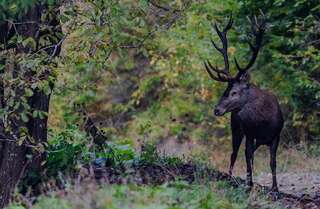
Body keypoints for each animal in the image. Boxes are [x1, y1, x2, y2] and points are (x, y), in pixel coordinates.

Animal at [204, 12, 284, 193]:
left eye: (234, 92)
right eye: (224, 91)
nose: (217, 109)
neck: (264, 122)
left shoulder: (276, 135)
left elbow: (272, 162)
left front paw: (275, 188)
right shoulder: (249, 133)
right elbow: (248, 157)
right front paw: (249, 183)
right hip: (236, 128)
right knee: (234, 153)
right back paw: (230, 176)